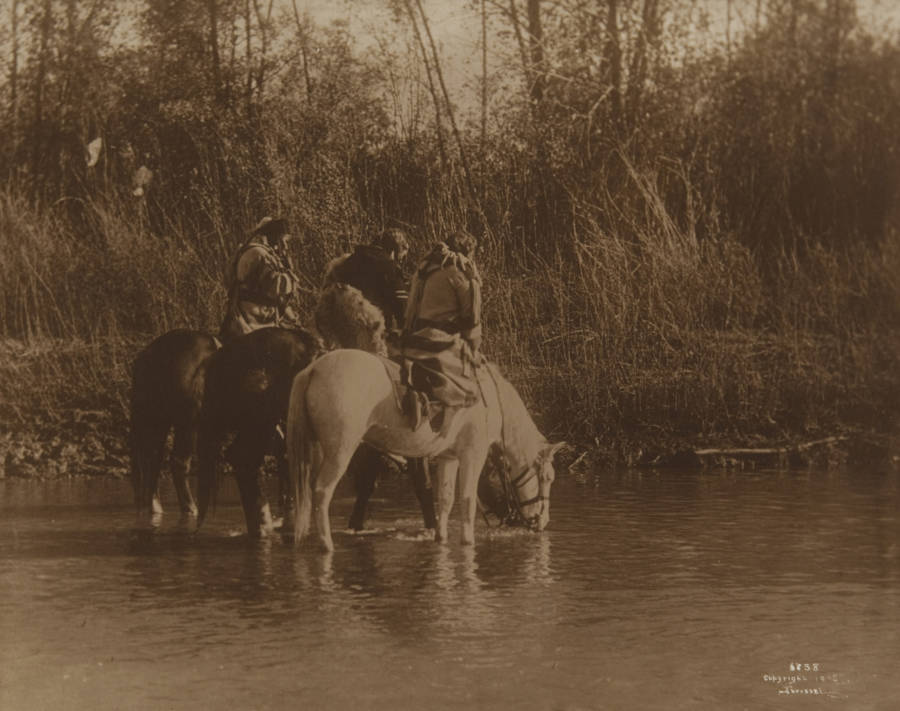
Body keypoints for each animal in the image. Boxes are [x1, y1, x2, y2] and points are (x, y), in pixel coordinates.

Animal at [284, 350, 564, 552]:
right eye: (548, 478)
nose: (543, 522)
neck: (489, 402)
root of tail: (313, 370)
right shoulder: (473, 455)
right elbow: (467, 499)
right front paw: (467, 541)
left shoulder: (449, 458)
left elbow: (446, 498)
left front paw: (441, 537)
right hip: (339, 452)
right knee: (322, 493)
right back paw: (326, 545)